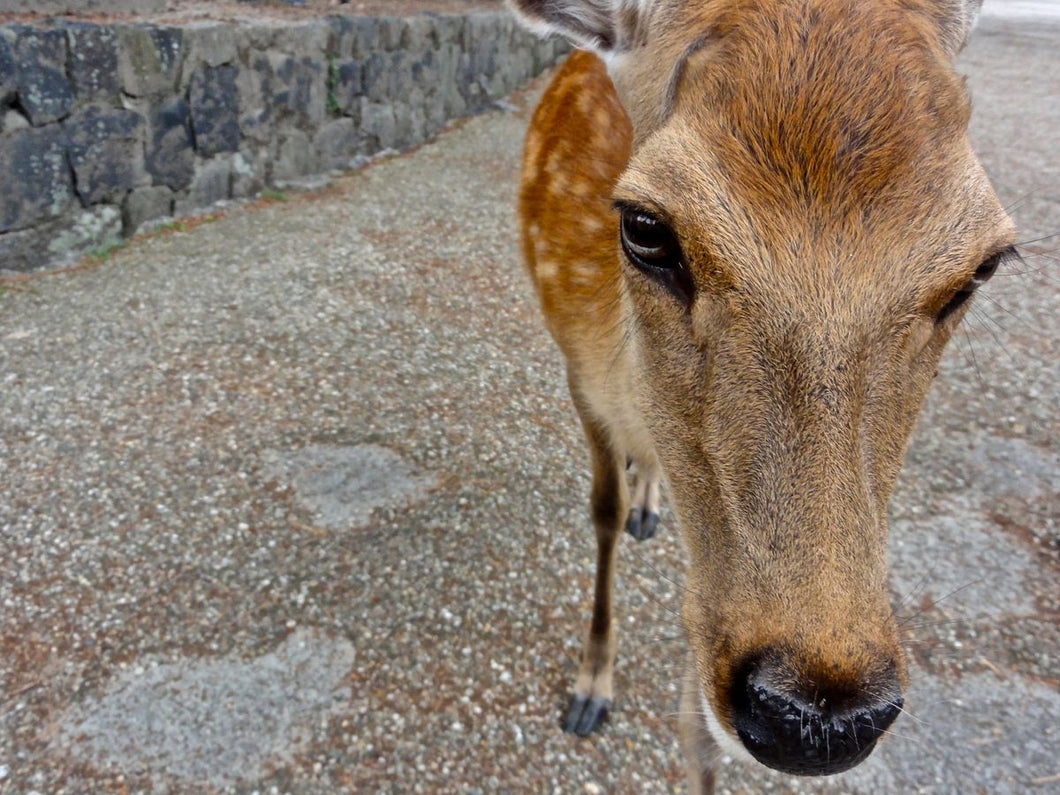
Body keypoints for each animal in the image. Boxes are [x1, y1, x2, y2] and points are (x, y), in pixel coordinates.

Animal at [508, 0, 1013, 792]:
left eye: (982, 269)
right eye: (645, 227)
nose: (817, 717)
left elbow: (698, 726)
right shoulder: (577, 372)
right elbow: (601, 511)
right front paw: (589, 690)